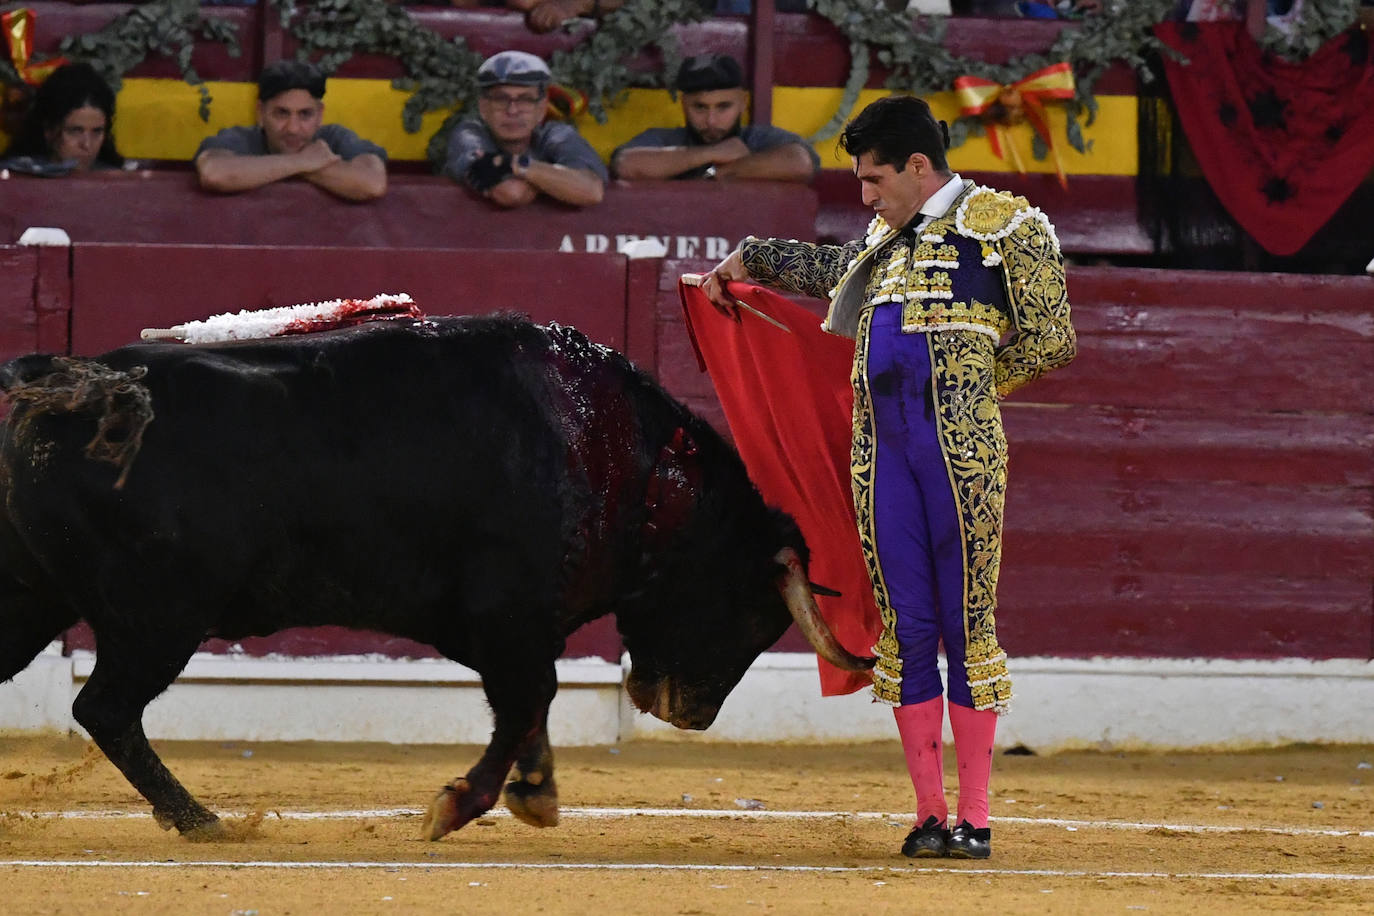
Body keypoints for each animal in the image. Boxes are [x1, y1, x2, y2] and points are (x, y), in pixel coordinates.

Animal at [0, 313, 868, 840]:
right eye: (755, 611)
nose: (692, 713)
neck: (632, 464)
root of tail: (65, 383)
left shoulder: (519, 626)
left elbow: (531, 708)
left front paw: (535, 794)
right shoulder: (508, 619)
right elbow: (529, 700)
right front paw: (460, 805)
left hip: (40, 597)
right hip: (157, 619)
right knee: (106, 709)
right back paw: (201, 820)